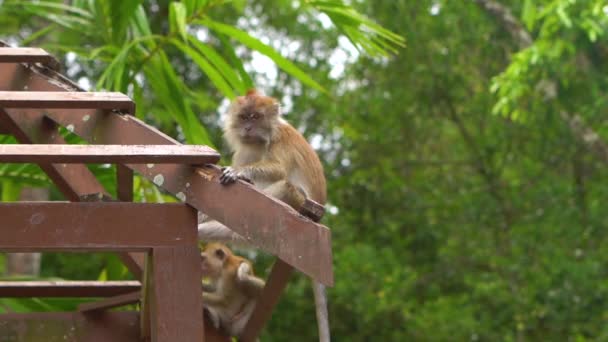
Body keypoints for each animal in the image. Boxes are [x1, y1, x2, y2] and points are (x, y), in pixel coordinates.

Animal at [198, 89, 332, 342]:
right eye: (244, 117)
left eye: (256, 116)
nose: (248, 128)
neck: (260, 140)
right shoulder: (245, 149)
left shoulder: (281, 139)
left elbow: (278, 169)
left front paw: (237, 173)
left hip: (297, 207)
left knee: (284, 187)